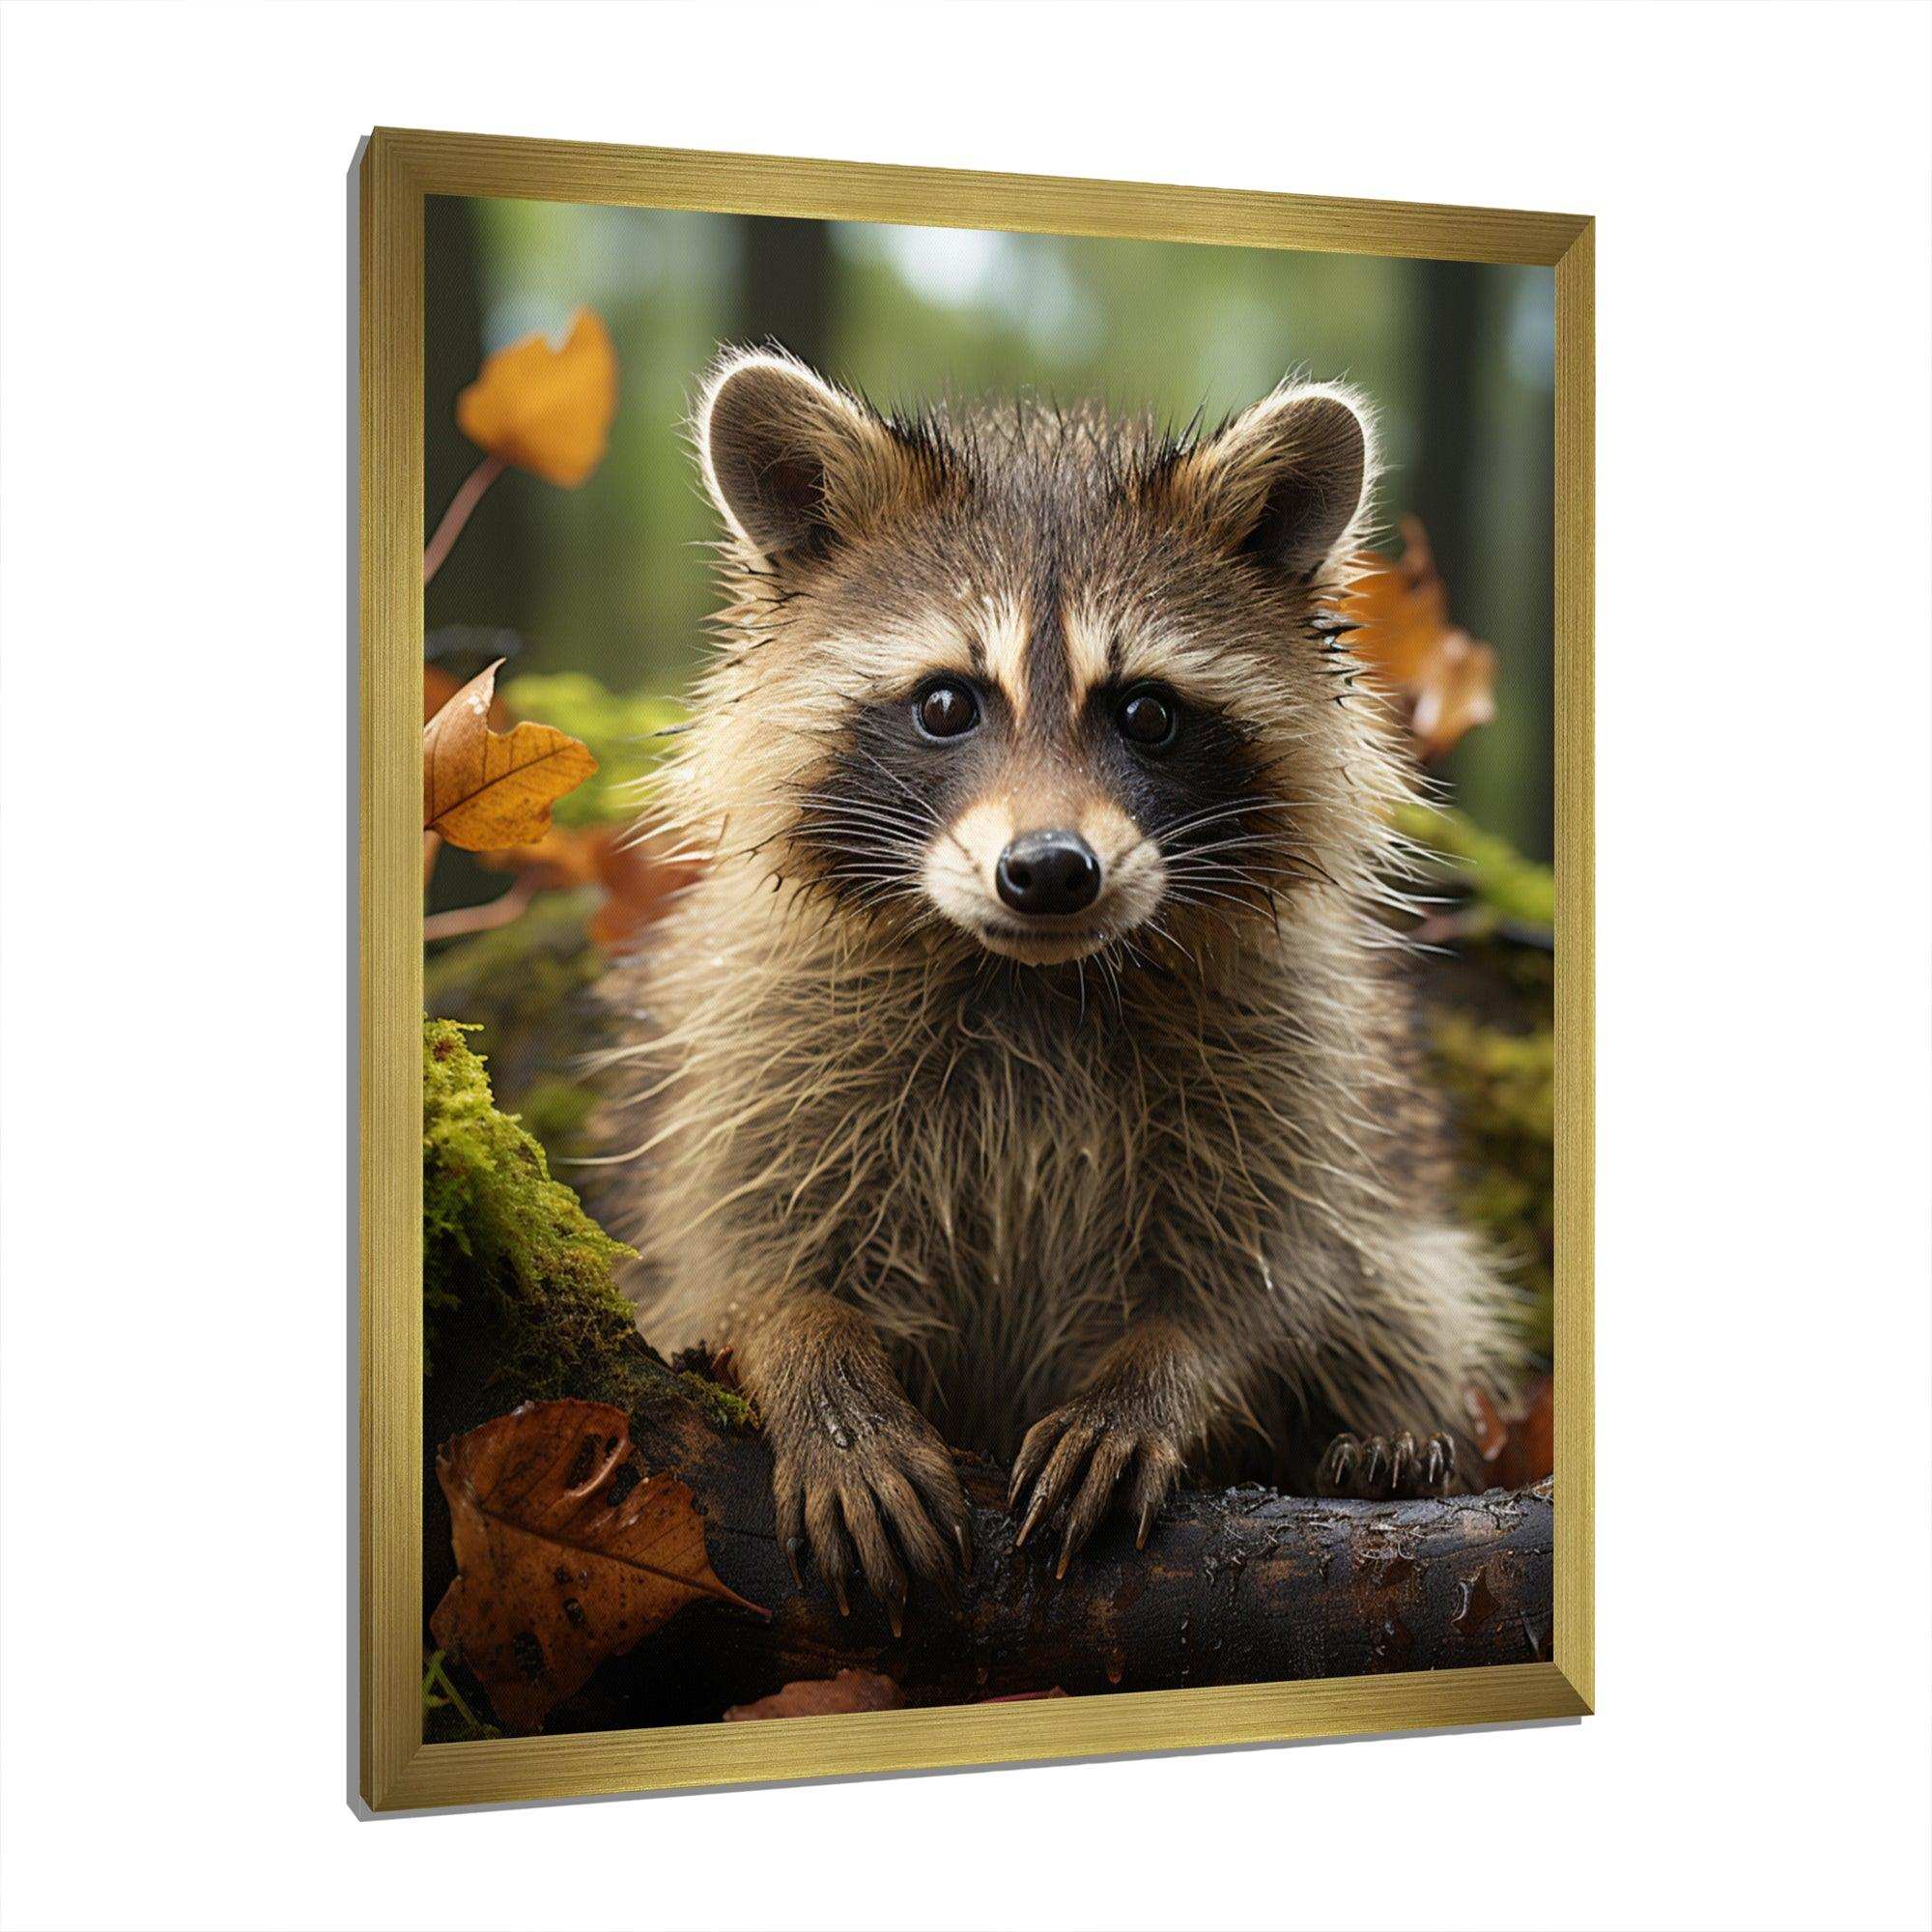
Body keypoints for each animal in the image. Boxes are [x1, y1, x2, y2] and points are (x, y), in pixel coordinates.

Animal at [598, 347, 1517, 1616]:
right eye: (945, 701)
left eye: (1147, 711)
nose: (1046, 871)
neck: (1028, 977)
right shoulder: (760, 1036)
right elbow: (734, 1250)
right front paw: (814, 1363)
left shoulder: (1298, 1058)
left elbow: (1269, 1279)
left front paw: (1161, 1375)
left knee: (1404, 1292)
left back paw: (1386, 1440)